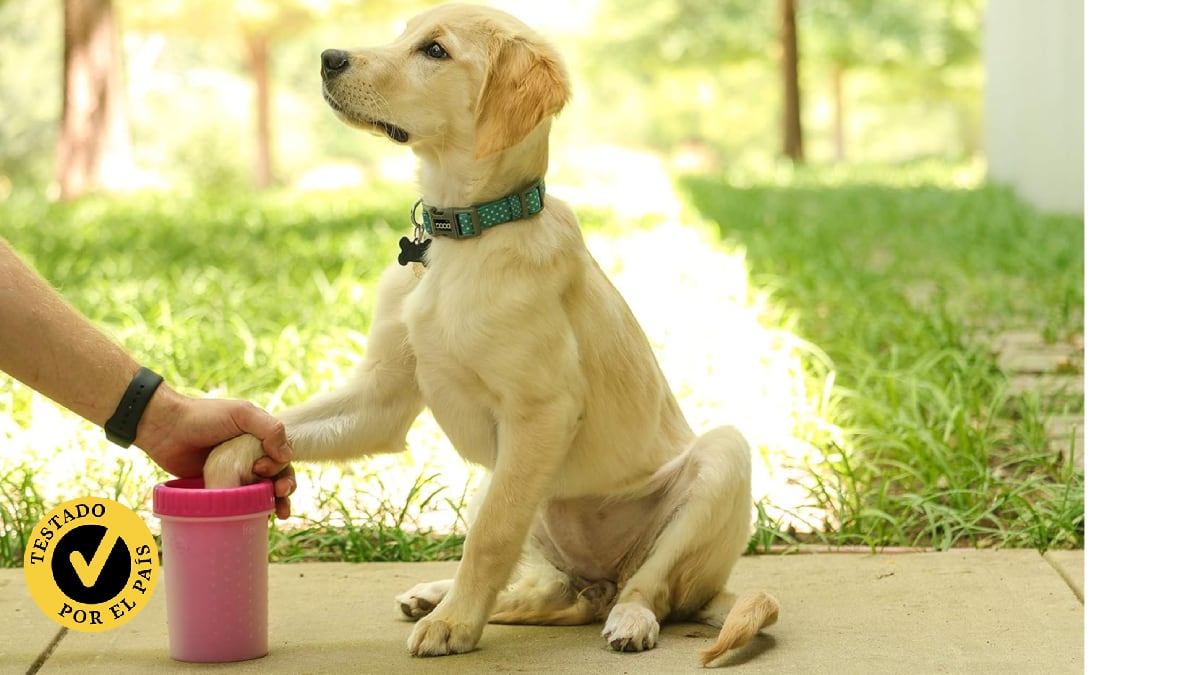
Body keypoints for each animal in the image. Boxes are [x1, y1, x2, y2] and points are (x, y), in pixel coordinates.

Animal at [204, 1, 777, 662]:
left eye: (434, 51)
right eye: (402, 32)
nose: (328, 58)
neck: (465, 233)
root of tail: (601, 580)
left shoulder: (541, 411)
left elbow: (492, 535)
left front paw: (455, 626)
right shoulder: (382, 398)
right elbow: (273, 426)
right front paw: (223, 468)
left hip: (719, 460)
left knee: (646, 586)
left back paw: (624, 619)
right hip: (507, 489)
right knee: (551, 593)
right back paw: (438, 594)